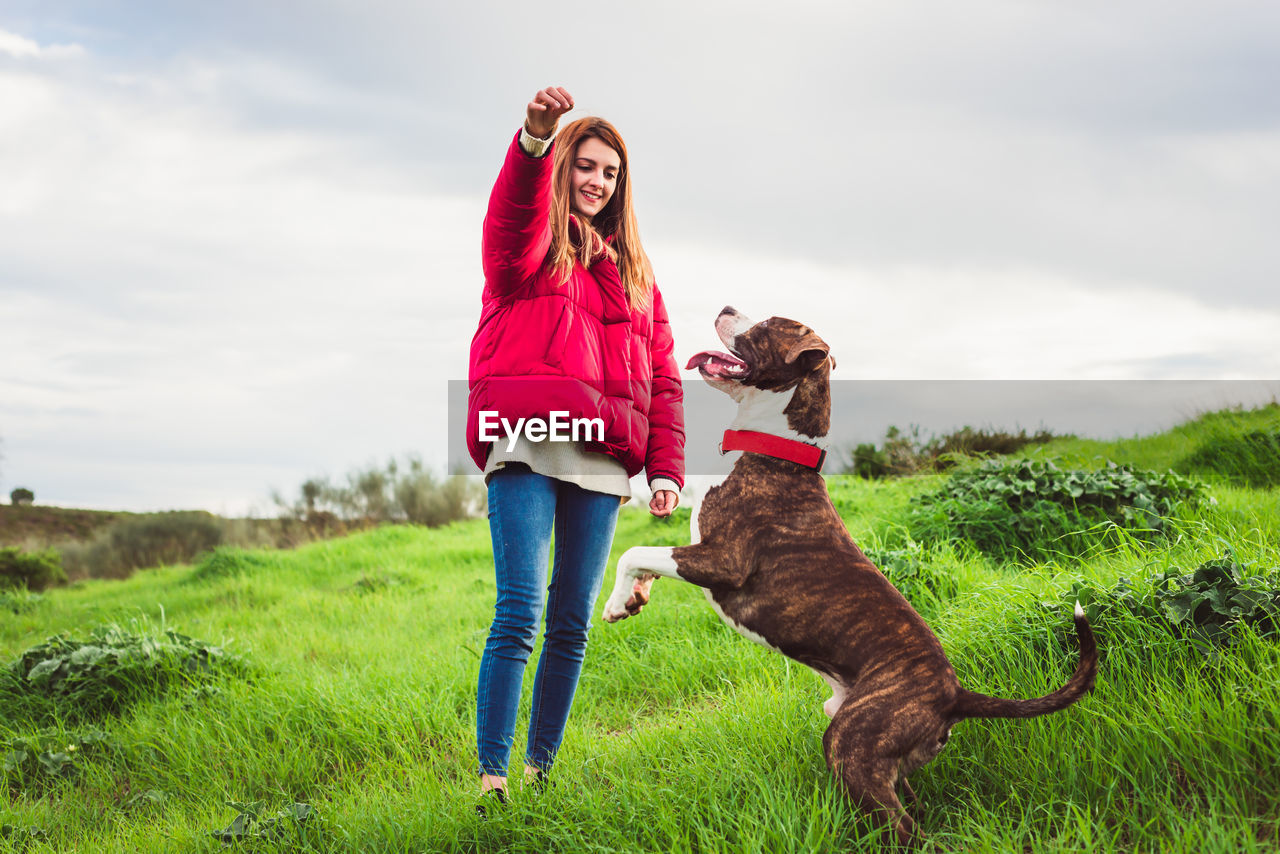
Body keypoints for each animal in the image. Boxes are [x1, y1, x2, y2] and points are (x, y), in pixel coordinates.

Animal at [601, 307, 1100, 850]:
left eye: (767, 325)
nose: (727, 308)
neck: (778, 449)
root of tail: (954, 696)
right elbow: (646, 561)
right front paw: (632, 599)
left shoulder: (722, 561)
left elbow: (633, 551)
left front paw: (613, 603)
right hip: (878, 750)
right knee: (908, 805)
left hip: (853, 742)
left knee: (902, 827)